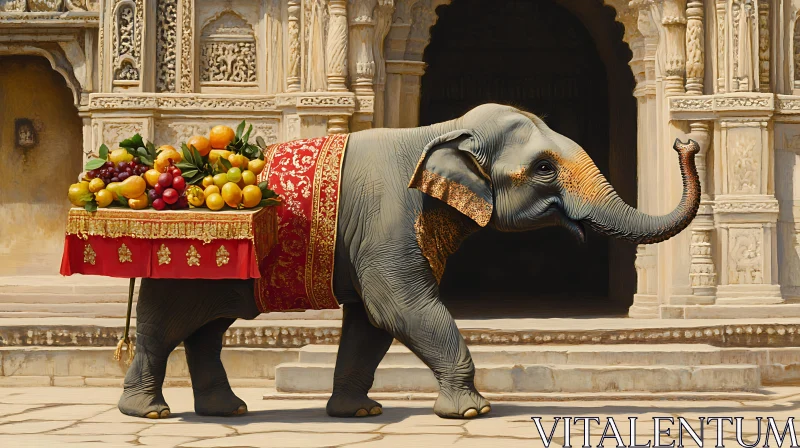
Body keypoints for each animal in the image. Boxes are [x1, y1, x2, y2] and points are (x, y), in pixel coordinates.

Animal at [115, 101, 696, 420]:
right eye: (545, 169)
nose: (684, 142)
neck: (440, 129)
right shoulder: (388, 220)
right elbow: (397, 305)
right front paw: (473, 411)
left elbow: (372, 321)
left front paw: (359, 412)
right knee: (165, 326)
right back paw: (152, 412)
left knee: (206, 329)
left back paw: (226, 409)